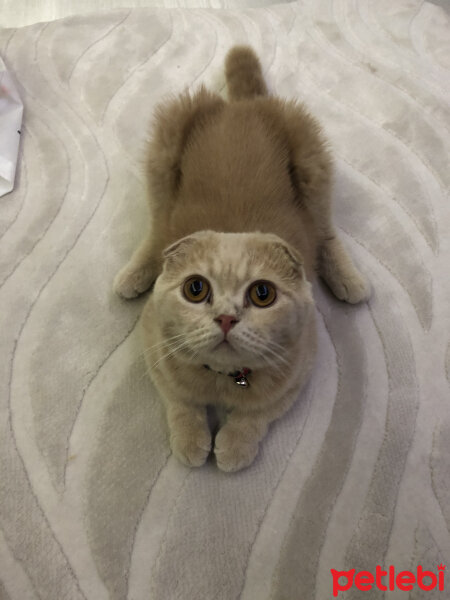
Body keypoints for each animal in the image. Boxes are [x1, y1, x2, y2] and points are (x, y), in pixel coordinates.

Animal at [113, 45, 370, 474]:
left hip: (313, 167)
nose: (226, 318)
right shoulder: (153, 347)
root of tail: (242, 106)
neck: (224, 379)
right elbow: (180, 402)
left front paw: (234, 447)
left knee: (324, 230)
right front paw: (191, 442)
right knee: (157, 227)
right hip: (163, 156)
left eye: (262, 294)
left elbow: (257, 414)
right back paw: (133, 274)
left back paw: (349, 281)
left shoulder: (302, 365)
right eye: (195, 289)